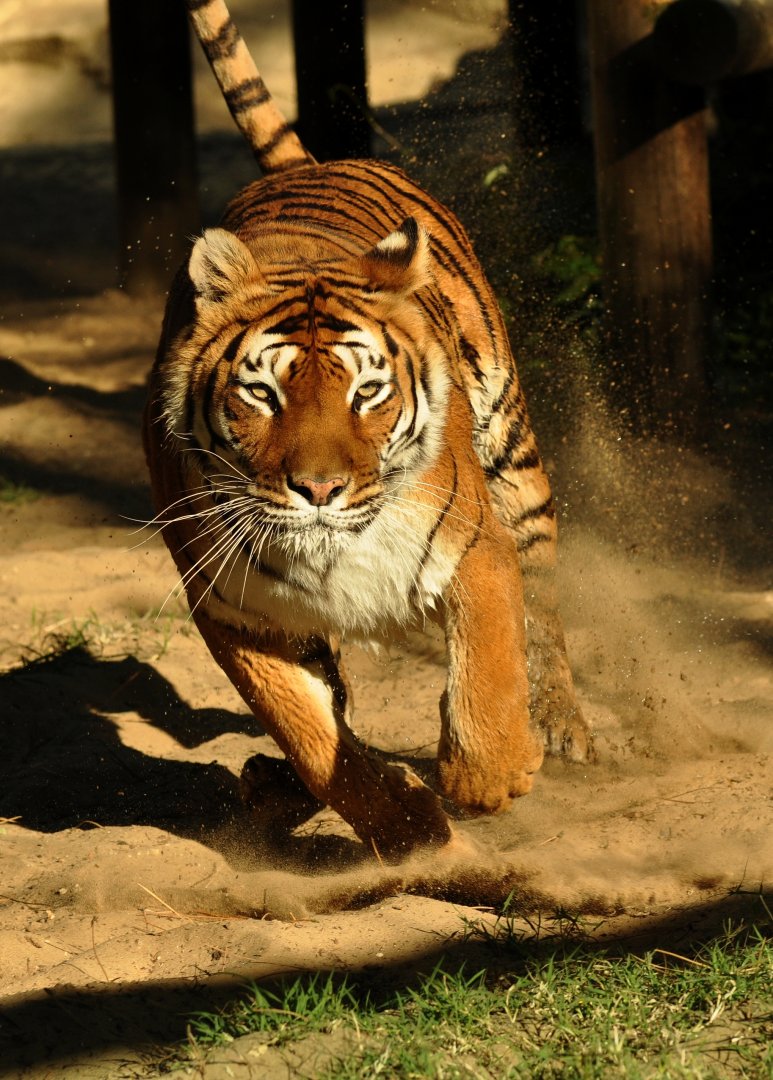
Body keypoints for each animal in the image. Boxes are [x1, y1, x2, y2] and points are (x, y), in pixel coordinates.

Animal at [143, 0, 592, 862]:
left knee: (546, 598)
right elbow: (313, 738)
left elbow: (488, 676)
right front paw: (406, 823)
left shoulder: (474, 549)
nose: (319, 488)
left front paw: (495, 775)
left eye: (367, 392)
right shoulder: (233, 613)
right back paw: (270, 786)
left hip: (511, 457)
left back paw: (561, 725)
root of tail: (309, 164)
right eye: (262, 393)